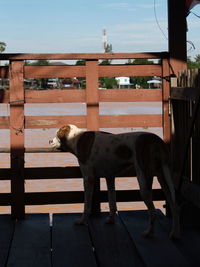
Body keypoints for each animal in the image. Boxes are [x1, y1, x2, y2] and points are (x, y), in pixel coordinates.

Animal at [49, 124, 180, 240]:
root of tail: (157, 140)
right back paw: (174, 233)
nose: (49, 140)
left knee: (153, 213)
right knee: (174, 206)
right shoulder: (110, 177)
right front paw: (111, 219)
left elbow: (87, 205)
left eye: (56, 134)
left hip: (144, 180)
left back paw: (149, 233)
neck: (77, 137)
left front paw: (82, 221)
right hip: (162, 178)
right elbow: (112, 202)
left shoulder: (88, 178)